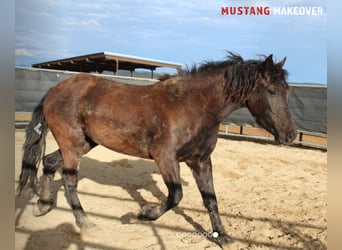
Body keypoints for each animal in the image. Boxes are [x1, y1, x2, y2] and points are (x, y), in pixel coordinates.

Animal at [16, 51, 296, 247]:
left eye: (287, 91)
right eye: (272, 91)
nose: (291, 135)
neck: (194, 106)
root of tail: (54, 90)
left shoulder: (201, 161)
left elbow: (210, 199)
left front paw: (223, 237)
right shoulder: (165, 158)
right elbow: (176, 195)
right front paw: (141, 214)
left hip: (83, 143)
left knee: (50, 163)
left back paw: (43, 205)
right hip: (72, 145)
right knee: (69, 180)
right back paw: (84, 221)